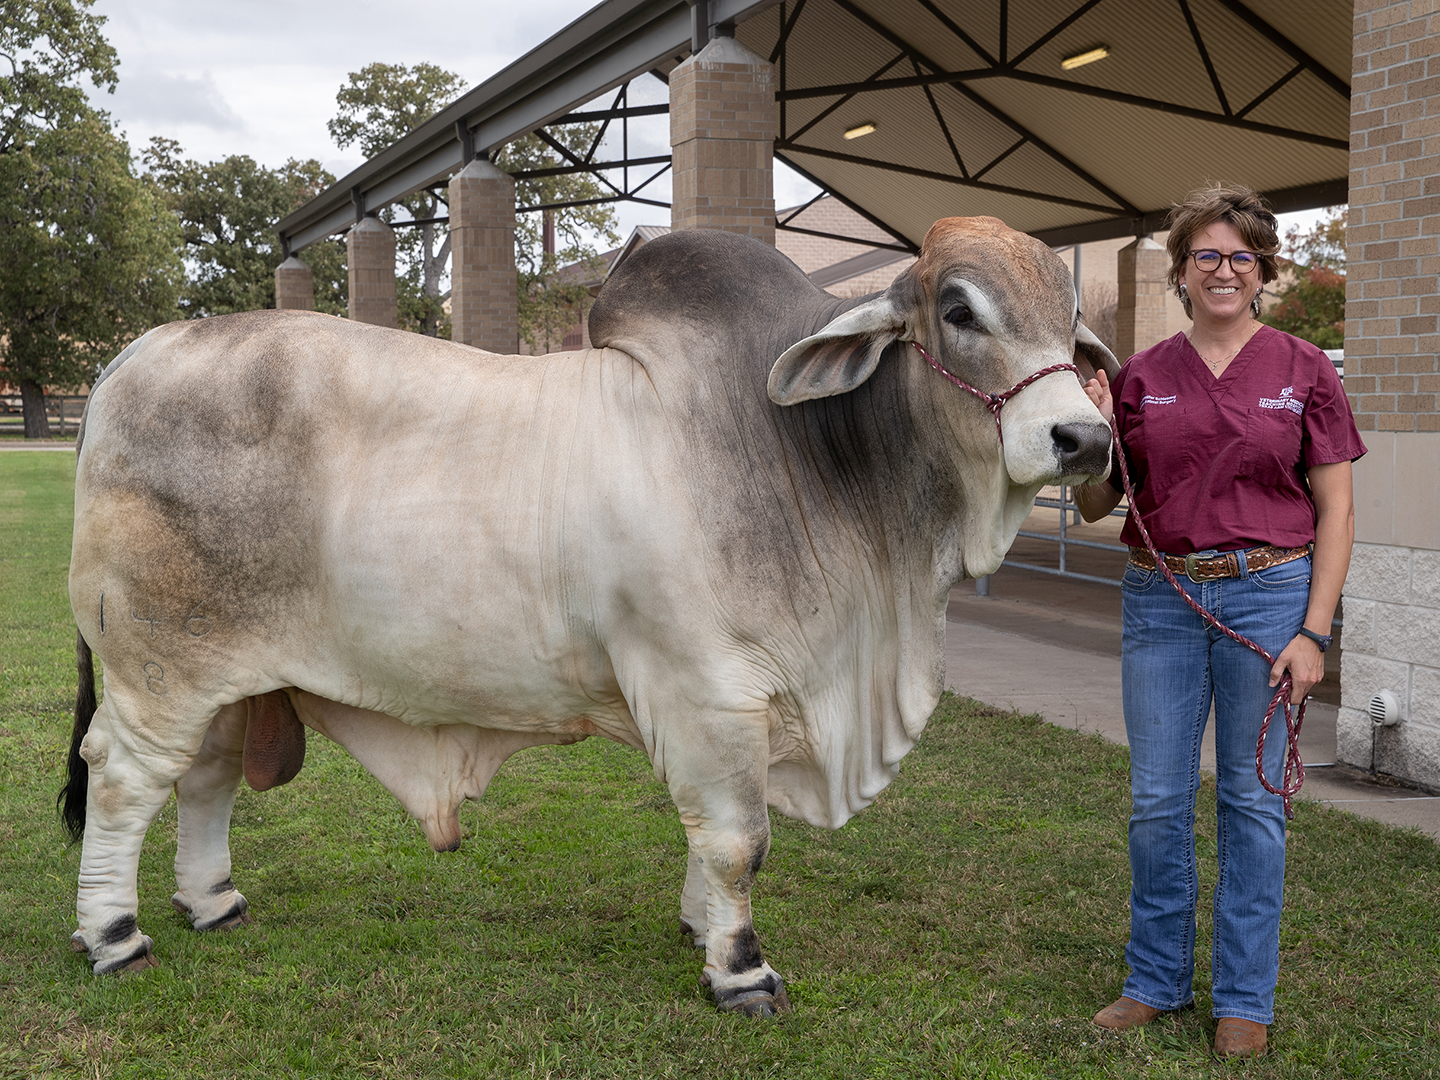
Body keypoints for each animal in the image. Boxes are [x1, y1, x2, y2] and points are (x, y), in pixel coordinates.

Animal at [61, 220, 1117, 1013]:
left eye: (1072, 320)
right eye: (958, 310)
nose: (1083, 436)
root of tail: (133, 354)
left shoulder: (737, 708)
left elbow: (712, 832)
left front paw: (698, 928)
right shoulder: (708, 689)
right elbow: (738, 838)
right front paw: (741, 972)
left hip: (222, 671)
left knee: (203, 781)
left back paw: (213, 903)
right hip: (158, 665)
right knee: (122, 782)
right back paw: (115, 936)